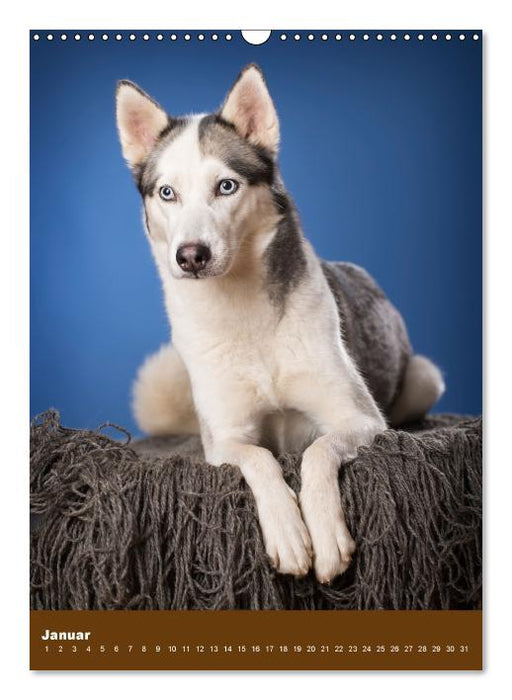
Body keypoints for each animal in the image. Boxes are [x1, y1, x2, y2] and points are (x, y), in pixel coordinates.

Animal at [116, 65, 444, 584]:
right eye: (167, 193)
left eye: (226, 186)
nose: (190, 256)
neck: (245, 314)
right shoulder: (224, 439)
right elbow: (261, 458)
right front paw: (289, 534)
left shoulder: (362, 421)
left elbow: (317, 450)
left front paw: (325, 535)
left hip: (423, 379)